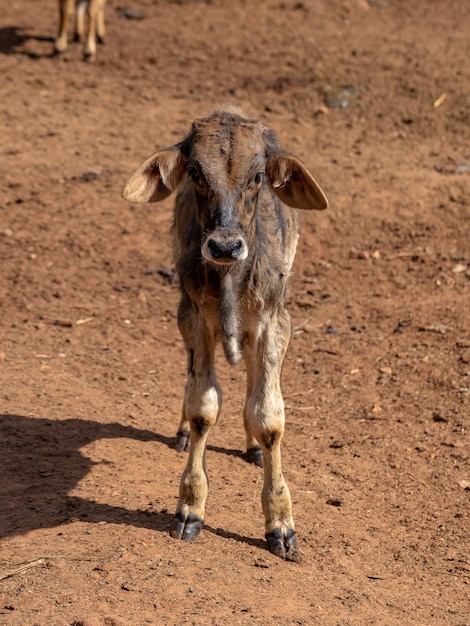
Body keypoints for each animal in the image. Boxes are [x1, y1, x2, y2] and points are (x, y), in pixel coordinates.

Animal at [122, 105, 326, 560]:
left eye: (258, 176)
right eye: (196, 173)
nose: (225, 246)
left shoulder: (276, 321)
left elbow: (268, 416)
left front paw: (281, 525)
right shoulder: (192, 316)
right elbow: (203, 407)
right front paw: (189, 508)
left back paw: (251, 447)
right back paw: (183, 432)